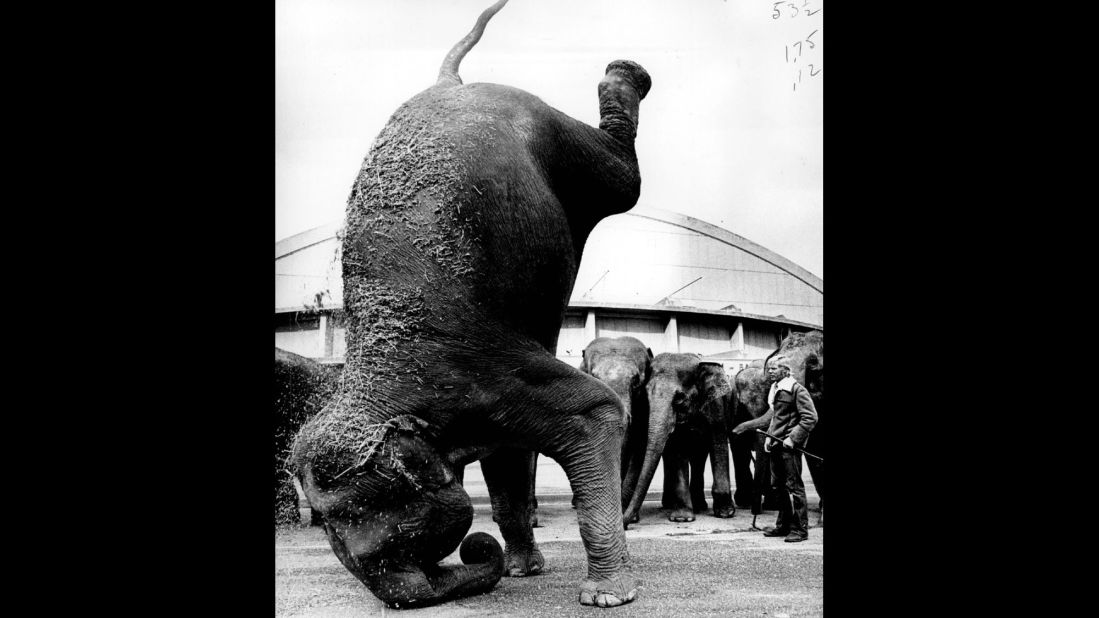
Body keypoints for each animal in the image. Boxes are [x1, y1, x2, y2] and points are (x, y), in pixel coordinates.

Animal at [624, 354, 734, 521]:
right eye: (646, 398)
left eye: (679, 399)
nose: (626, 523)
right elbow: (678, 449)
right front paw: (682, 518)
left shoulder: (716, 405)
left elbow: (718, 441)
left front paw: (725, 513)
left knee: (699, 457)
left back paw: (700, 506)